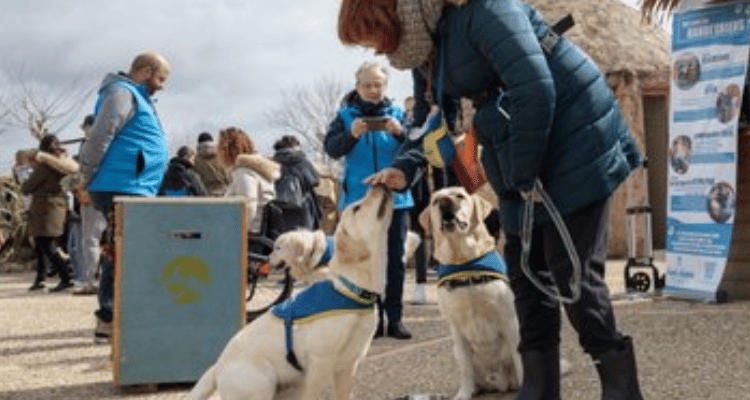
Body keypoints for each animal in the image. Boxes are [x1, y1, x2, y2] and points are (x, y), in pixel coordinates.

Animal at [188, 184, 396, 400]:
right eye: (357, 208)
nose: (381, 184)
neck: (350, 290)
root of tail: (217, 367)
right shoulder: (319, 365)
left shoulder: (348, 367)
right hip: (264, 383)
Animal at [420, 186, 524, 398]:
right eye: (435, 200)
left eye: (460, 195)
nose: (445, 202)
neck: (463, 262)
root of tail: (500, 384)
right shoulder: (456, 329)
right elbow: (466, 368)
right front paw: (465, 393)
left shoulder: (509, 319)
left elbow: (519, 359)